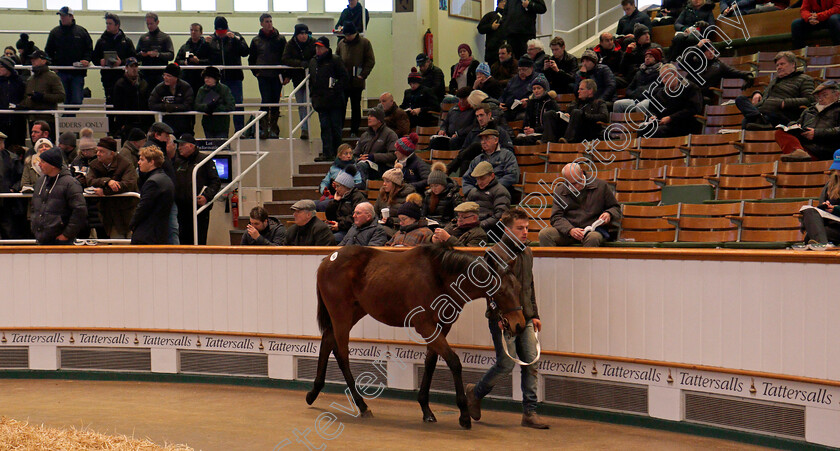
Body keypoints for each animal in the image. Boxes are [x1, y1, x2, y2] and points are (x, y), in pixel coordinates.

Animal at [306, 244, 524, 430]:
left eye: (518, 288)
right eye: (501, 291)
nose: (519, 324)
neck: (438, 277)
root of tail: (329, 259)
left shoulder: (441, 327)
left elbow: (430, 363)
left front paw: (426, 410)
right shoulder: (426, 327)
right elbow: (454, 362)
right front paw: (463, 415)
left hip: (354, 312)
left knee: (328, 340)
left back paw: (314, 392)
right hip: (341, 315)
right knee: (342, 354)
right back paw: (362, 405)